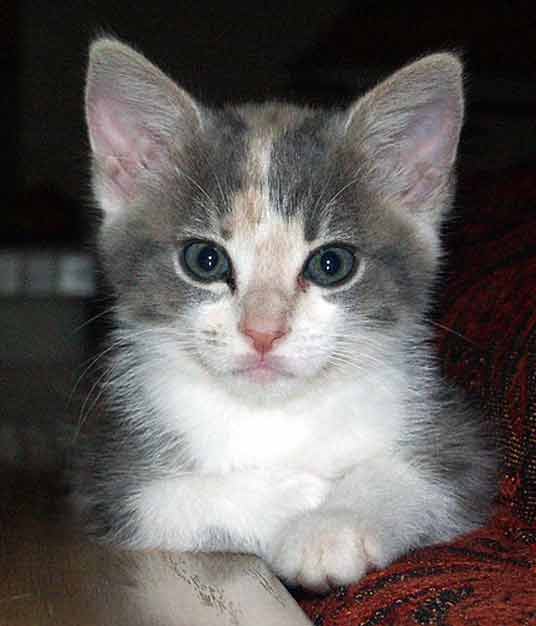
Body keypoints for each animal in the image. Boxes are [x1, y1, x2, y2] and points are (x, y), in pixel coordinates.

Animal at [73, 39, 496, 588]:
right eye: (204, 260)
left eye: (331, 264)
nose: (263, 331)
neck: (274, 415)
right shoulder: (101, 473)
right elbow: (164, 498)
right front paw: (297, 496)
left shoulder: (463, 443)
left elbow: (419, 472)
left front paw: (330, 526)